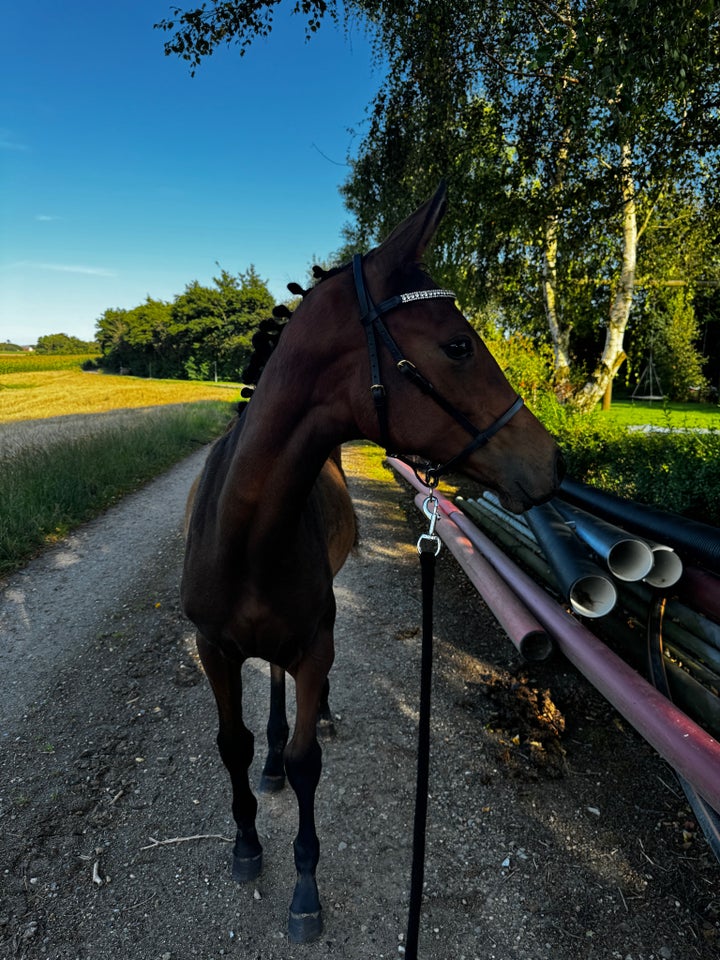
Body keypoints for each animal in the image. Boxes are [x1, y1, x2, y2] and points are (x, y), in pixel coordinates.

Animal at [180, 182, 564, 944]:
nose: (551, 462)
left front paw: (305, 890)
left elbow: (306, 760)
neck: (244, 535)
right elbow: (233, 743)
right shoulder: (212, 649)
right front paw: (246, 843)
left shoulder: (314, 639)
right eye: (457, 344)